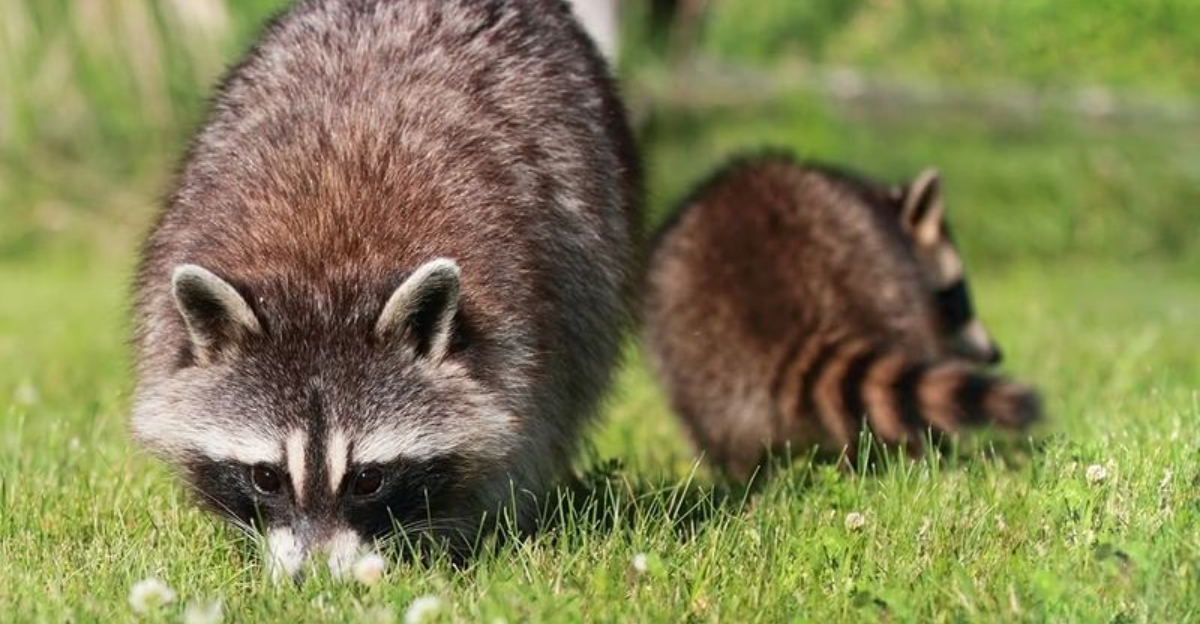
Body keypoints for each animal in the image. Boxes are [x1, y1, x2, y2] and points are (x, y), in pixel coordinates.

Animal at [130, 0, 640, 579]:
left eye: (368, 480)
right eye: (266, 477)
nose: (312, 578)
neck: (323, 269)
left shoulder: (519, 330)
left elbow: (512, 434)